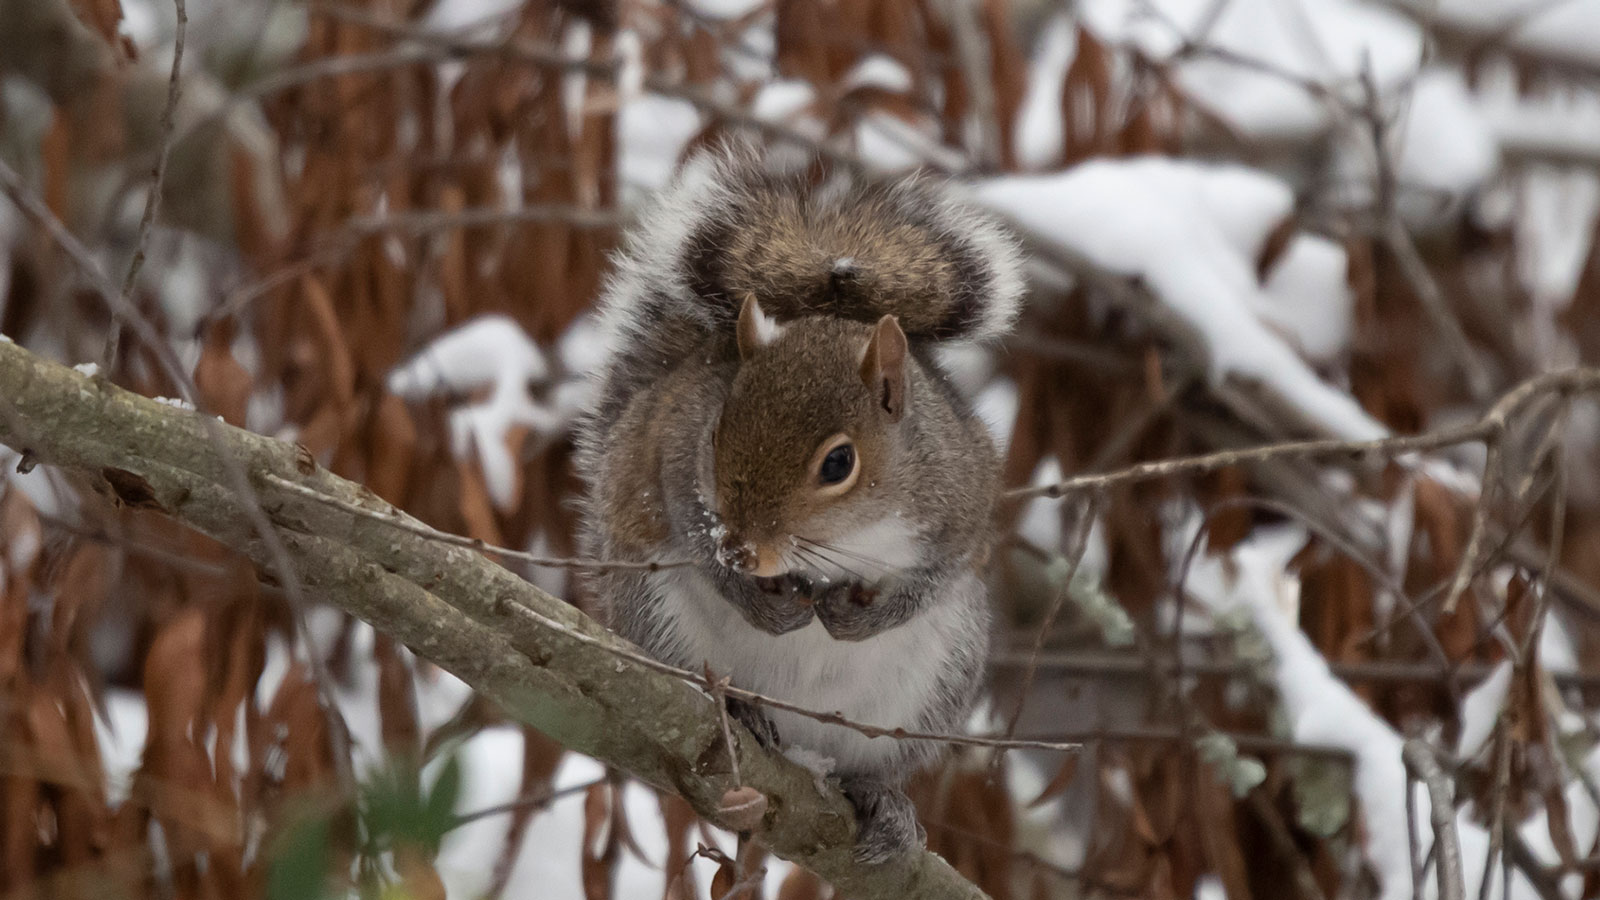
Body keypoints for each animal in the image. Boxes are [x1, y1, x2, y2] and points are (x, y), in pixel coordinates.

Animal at [576, 145, 1024, 864]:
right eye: (716, 430)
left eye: (839, 462)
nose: (743, 550)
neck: (847, 531)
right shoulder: (671, 463)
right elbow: (691, 530)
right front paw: (752, 594)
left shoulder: (967, 497)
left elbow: (938, 574)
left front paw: (862, 617)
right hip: (656, 623)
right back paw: (742, 712)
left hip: (930, 690)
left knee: (869, 765)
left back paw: (884, 804)